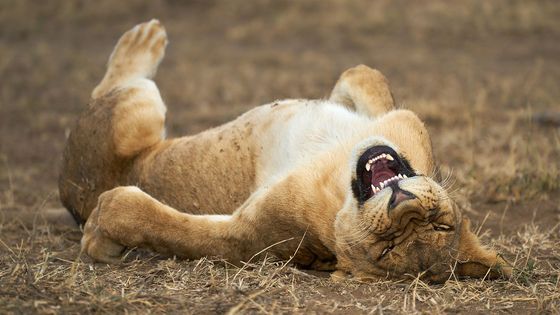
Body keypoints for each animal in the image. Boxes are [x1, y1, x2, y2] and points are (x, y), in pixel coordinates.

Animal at [58, 19, 512, 282]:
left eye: (386, 249)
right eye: (442, 225)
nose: (405, 206)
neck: (338, 177)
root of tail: (67, 192)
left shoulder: (249, 236)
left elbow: (166, 227)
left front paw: (100, 233)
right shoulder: (395, 120)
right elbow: (365, 74)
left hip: (138, 110)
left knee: (117, 88)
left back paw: (143, 40)